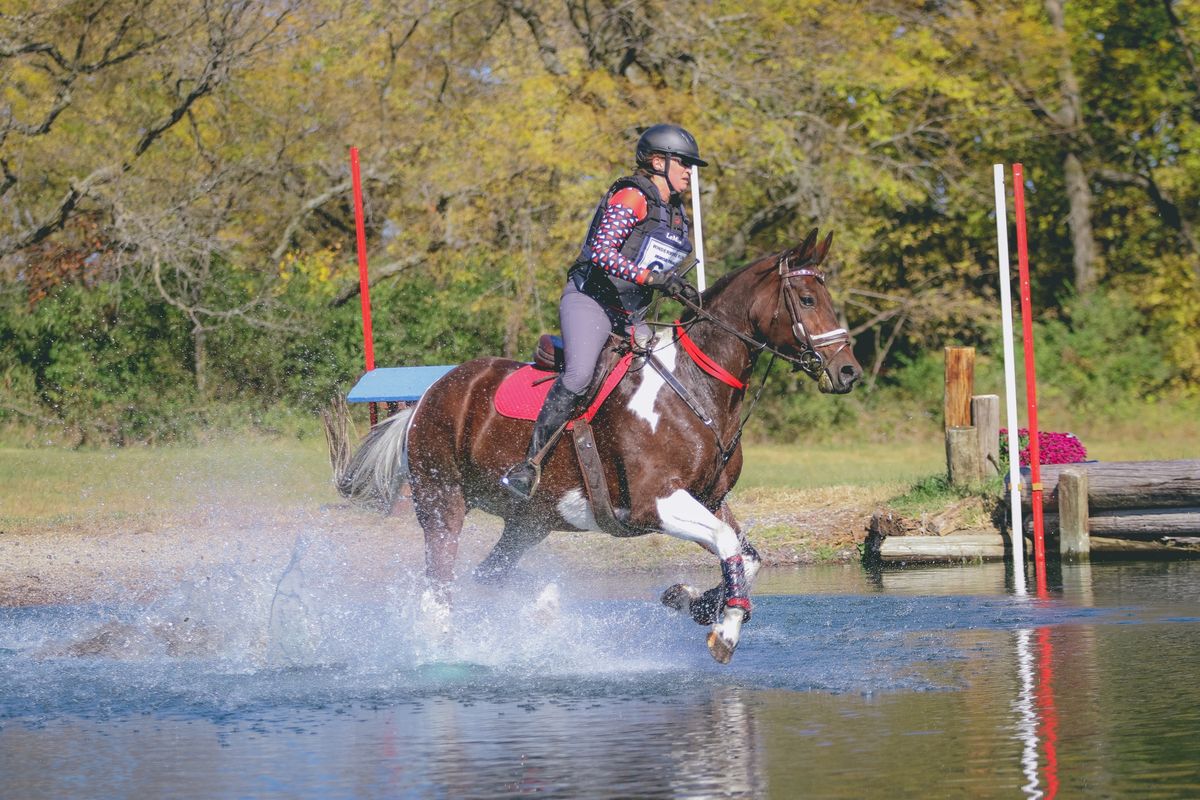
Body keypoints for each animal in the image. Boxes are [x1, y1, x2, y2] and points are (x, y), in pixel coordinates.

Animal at [331, 230, 864, 662]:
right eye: (807, 299)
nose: (848, 372)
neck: (696, 387)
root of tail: (427, 396)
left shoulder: (710, 498)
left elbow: (747, 557)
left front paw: (690, 601)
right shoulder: (655, 503)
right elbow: (729, 544)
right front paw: (726, 630)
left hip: (529, 523)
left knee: (487, 577)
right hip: (442, 501)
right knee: (439, 587)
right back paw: (444, 649)